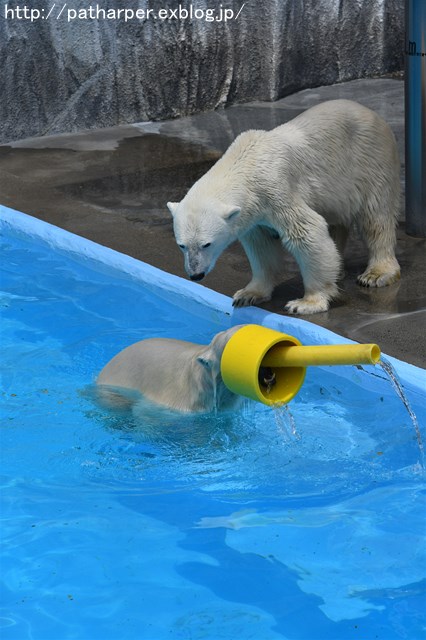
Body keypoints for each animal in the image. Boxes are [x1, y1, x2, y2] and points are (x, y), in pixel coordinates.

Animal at [168, 98, 402, 316]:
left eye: (207, 244)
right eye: (182, 245)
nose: (195, 274)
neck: (246, 163)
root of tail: (373, 114)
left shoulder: (275, 189)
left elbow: (307, 231)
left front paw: (306, 303)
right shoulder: (255, 213)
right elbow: (261, 245)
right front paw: (248, 294)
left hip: (370, 160)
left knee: (375, 217)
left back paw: (376, 274)